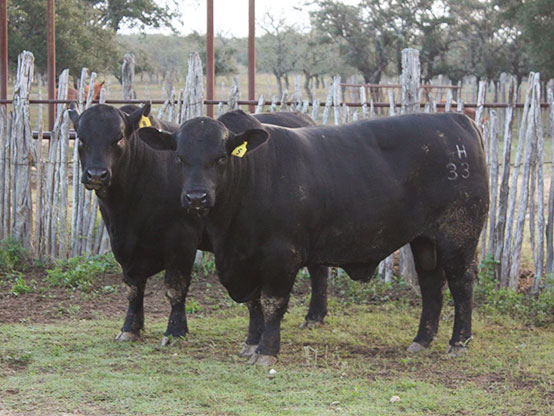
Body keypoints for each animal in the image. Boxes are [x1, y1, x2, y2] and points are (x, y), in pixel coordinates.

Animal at [68, 103, 328, 344]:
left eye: (118, 138)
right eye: (81, 139)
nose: (96, 174)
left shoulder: (181, 239)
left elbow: (175, 288)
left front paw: (175, 331)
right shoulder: (124, 244)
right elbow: (133, 288)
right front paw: (129, 328)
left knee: (318, 270)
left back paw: (314, 316)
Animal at [138, 109, 488, 364]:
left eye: (221, 158)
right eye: (180, 158)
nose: (196, 197)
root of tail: (458, 120)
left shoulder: (282, 255)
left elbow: (273, 303)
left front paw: (267, 350)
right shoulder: (243, 259)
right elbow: (253, 304)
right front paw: (251, 343)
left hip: (459, 235)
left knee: (461, 285)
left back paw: (458, 342)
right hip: (425, 239)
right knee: (431, 286)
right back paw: (421, 341)